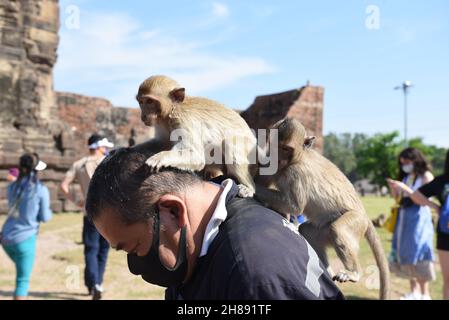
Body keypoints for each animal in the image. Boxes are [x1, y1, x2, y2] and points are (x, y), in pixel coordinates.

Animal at [256, 117, 388, 300]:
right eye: (276, 146)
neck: (297, 158)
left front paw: (250, 188)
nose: (279, 159)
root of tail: (366, 215)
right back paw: (327, 269)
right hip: (327, 227)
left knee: (338, 228)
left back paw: (353, 273)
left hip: (357, 221)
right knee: (309, 231)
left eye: (286, 149)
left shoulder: (298, 173)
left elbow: (294, 205)